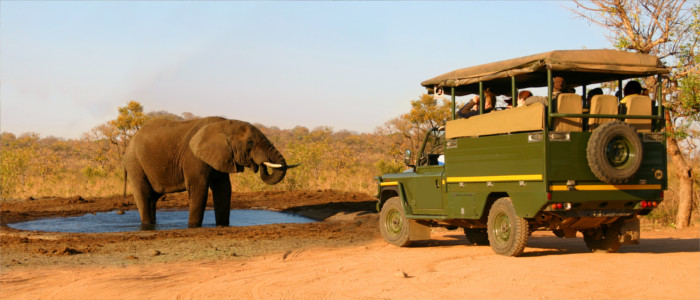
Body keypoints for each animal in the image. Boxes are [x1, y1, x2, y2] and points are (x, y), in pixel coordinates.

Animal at [123, 116, 298, 227]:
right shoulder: (193, 158)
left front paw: (223, 225)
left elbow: (224, 189)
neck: (225, 125)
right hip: (134, 163)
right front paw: (193, 226)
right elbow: (199, 189)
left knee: (152, 199)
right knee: (144, 196)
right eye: (250, 142)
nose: (259, 164)